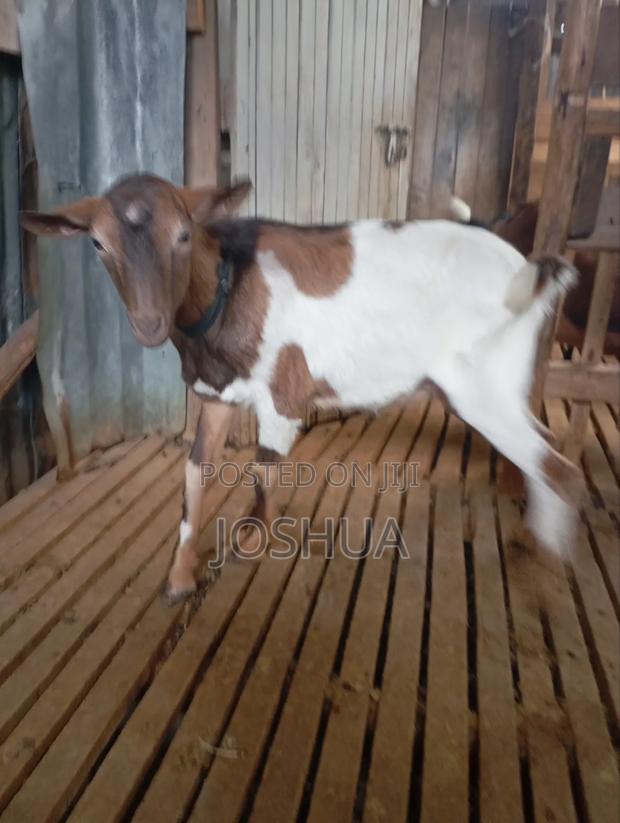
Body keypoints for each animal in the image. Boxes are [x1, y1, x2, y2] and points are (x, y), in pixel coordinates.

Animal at [22, 174, 584, 603]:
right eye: (97, 243)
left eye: (184, 234)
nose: (149, 323)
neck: (231, 286)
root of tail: (525, 269)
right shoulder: (216, 395)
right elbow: (195, 473)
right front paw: (179, 576)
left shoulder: (283, 397)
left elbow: (262, 475)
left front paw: (250, 548)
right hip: (501, 387)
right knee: (548, 453)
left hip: (482, 386)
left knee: (559, 470)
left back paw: (546, 570)